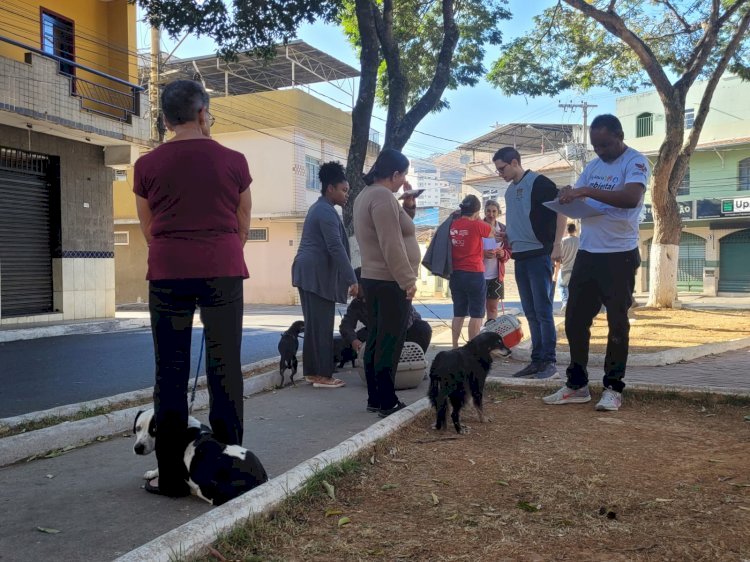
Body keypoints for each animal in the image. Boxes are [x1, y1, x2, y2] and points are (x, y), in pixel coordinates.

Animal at [134, 404, 268, 506]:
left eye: (154, 429)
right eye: (138, 428)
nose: (138, 448)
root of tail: (260, 480)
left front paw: (153, 473)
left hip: (209, 487)